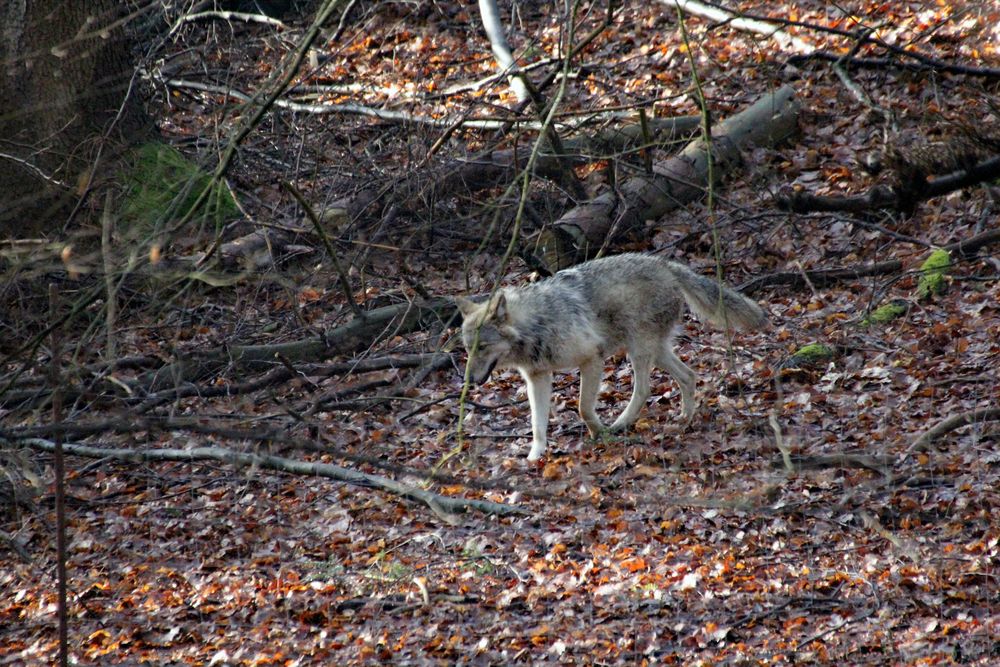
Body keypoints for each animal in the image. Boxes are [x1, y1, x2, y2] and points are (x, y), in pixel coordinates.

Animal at [458, 253, 768, 462]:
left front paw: (599, 434)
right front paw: (535, 456)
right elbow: (537, 424)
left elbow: (583, 408)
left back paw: (621, 424)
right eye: (467, 348)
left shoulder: (591, 359)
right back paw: (684, 419)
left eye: (482, 347)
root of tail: (664, 264)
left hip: (639, 351)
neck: (537, 324)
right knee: (689, 376)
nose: (468, 382)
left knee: (644, 390)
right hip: (653, 350)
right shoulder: (537, 378)